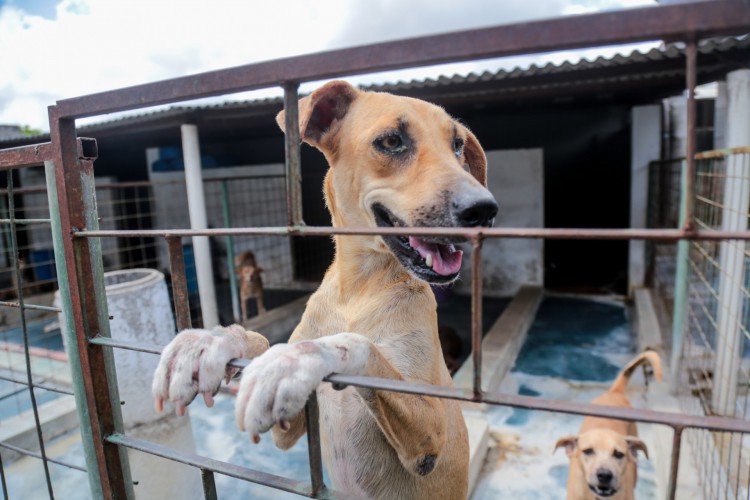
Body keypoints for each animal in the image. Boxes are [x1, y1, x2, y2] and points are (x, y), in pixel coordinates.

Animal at [151, 80, 500, 498]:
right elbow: (263, 341)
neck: (360, 290)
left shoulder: (431, 434)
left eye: (458, 146)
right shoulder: (289, 427)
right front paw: (215, 341)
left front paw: (297, 358)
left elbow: (359, 346)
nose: (484, 209)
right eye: (391, 141)